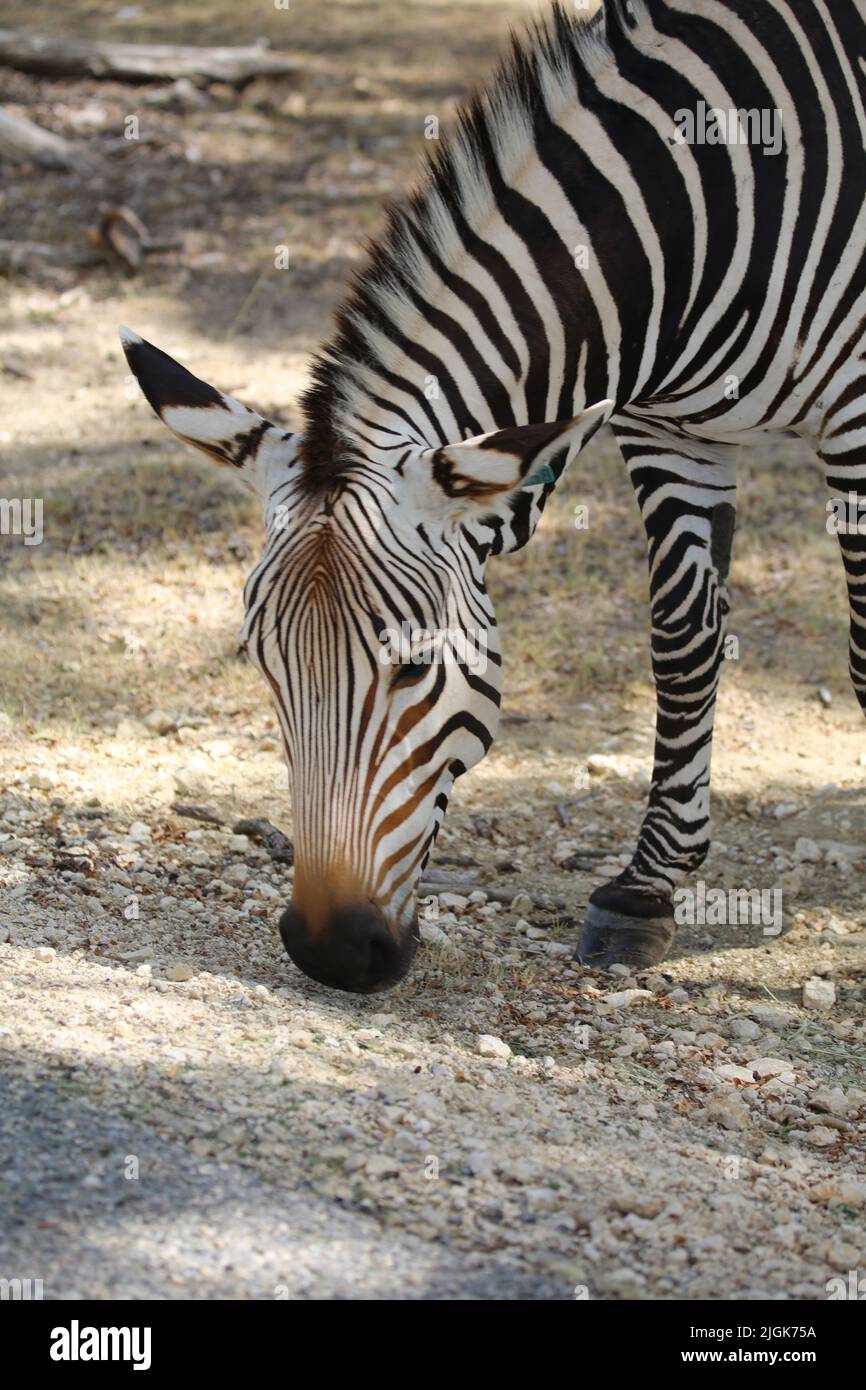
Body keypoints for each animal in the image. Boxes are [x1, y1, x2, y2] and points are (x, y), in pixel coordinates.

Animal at [122, 0, 866, 993]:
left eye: (412, 668)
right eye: (261, 664)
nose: (329, 953)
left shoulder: (861, 411)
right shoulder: (672, 429)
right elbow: (683, 642)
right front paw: (646, 891)